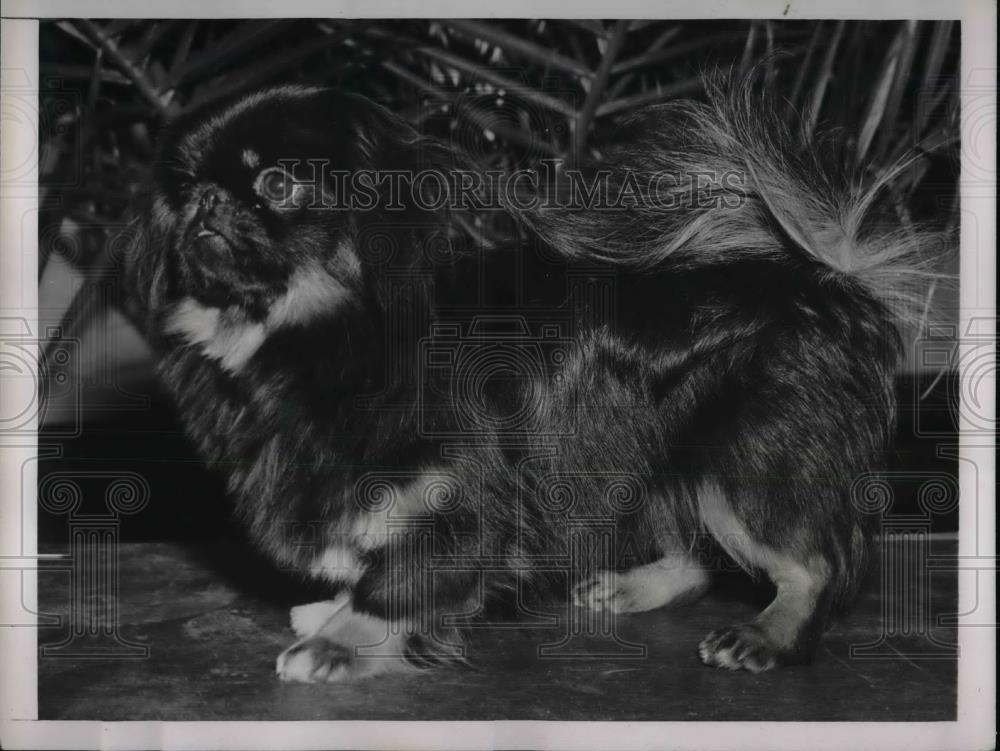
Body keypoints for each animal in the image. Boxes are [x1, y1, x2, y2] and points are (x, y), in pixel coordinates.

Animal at [125, 76, 944, 680]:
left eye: (277, 183)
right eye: (186, 189)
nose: (207, 203)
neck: (324, 338)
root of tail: (830, 284)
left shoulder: (455, 502)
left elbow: (399, 582)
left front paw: (337, 640)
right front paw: (331, 612)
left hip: (744, 462)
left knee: (812, 563)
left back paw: (766, 637)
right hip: (651, 460)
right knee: (695, 548)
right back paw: (633, 584)